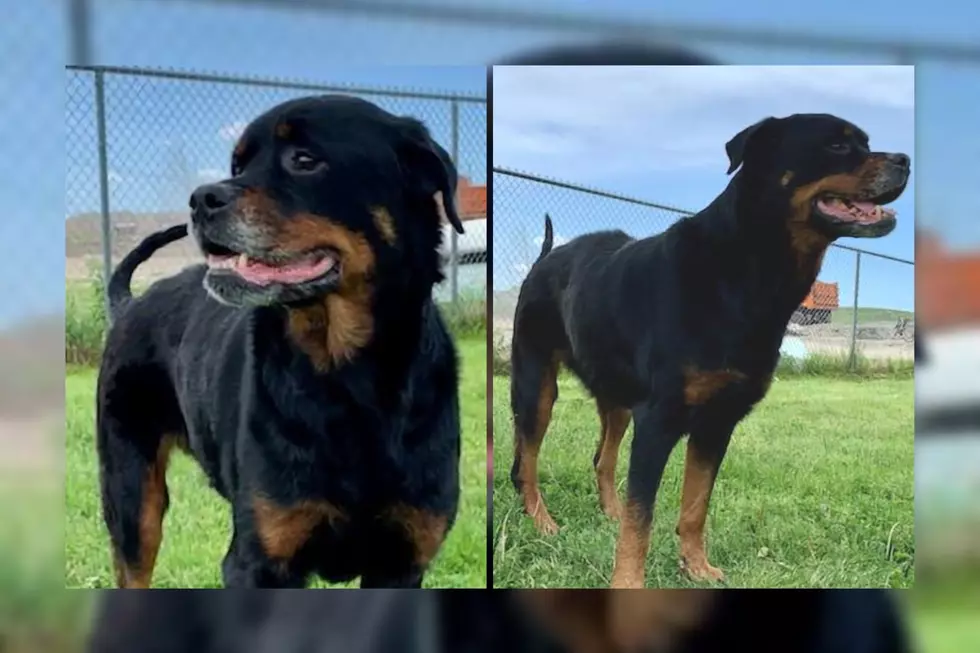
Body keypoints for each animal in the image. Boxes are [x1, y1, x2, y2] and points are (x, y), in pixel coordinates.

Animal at [97, 94, 466, 588]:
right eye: (237, 165)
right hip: (132, 498)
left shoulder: (402, 560)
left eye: (304, 160)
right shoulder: (259, 561)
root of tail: (128, 305)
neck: (349, 383)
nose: (201, 199)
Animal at [512, 111, 912, 584]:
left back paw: (607, 512)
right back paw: (542, 521)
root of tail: (544, 259)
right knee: (526, 462)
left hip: (616, 397)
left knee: (601, 458)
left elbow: (695, 505)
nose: (905, 160)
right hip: (537, 385)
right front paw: (628, 583)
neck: (745, 272)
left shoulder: (717, 422)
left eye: (865, 142)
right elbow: (642, 518)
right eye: (837, 145)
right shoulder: (658, 420)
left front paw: (697, 567)